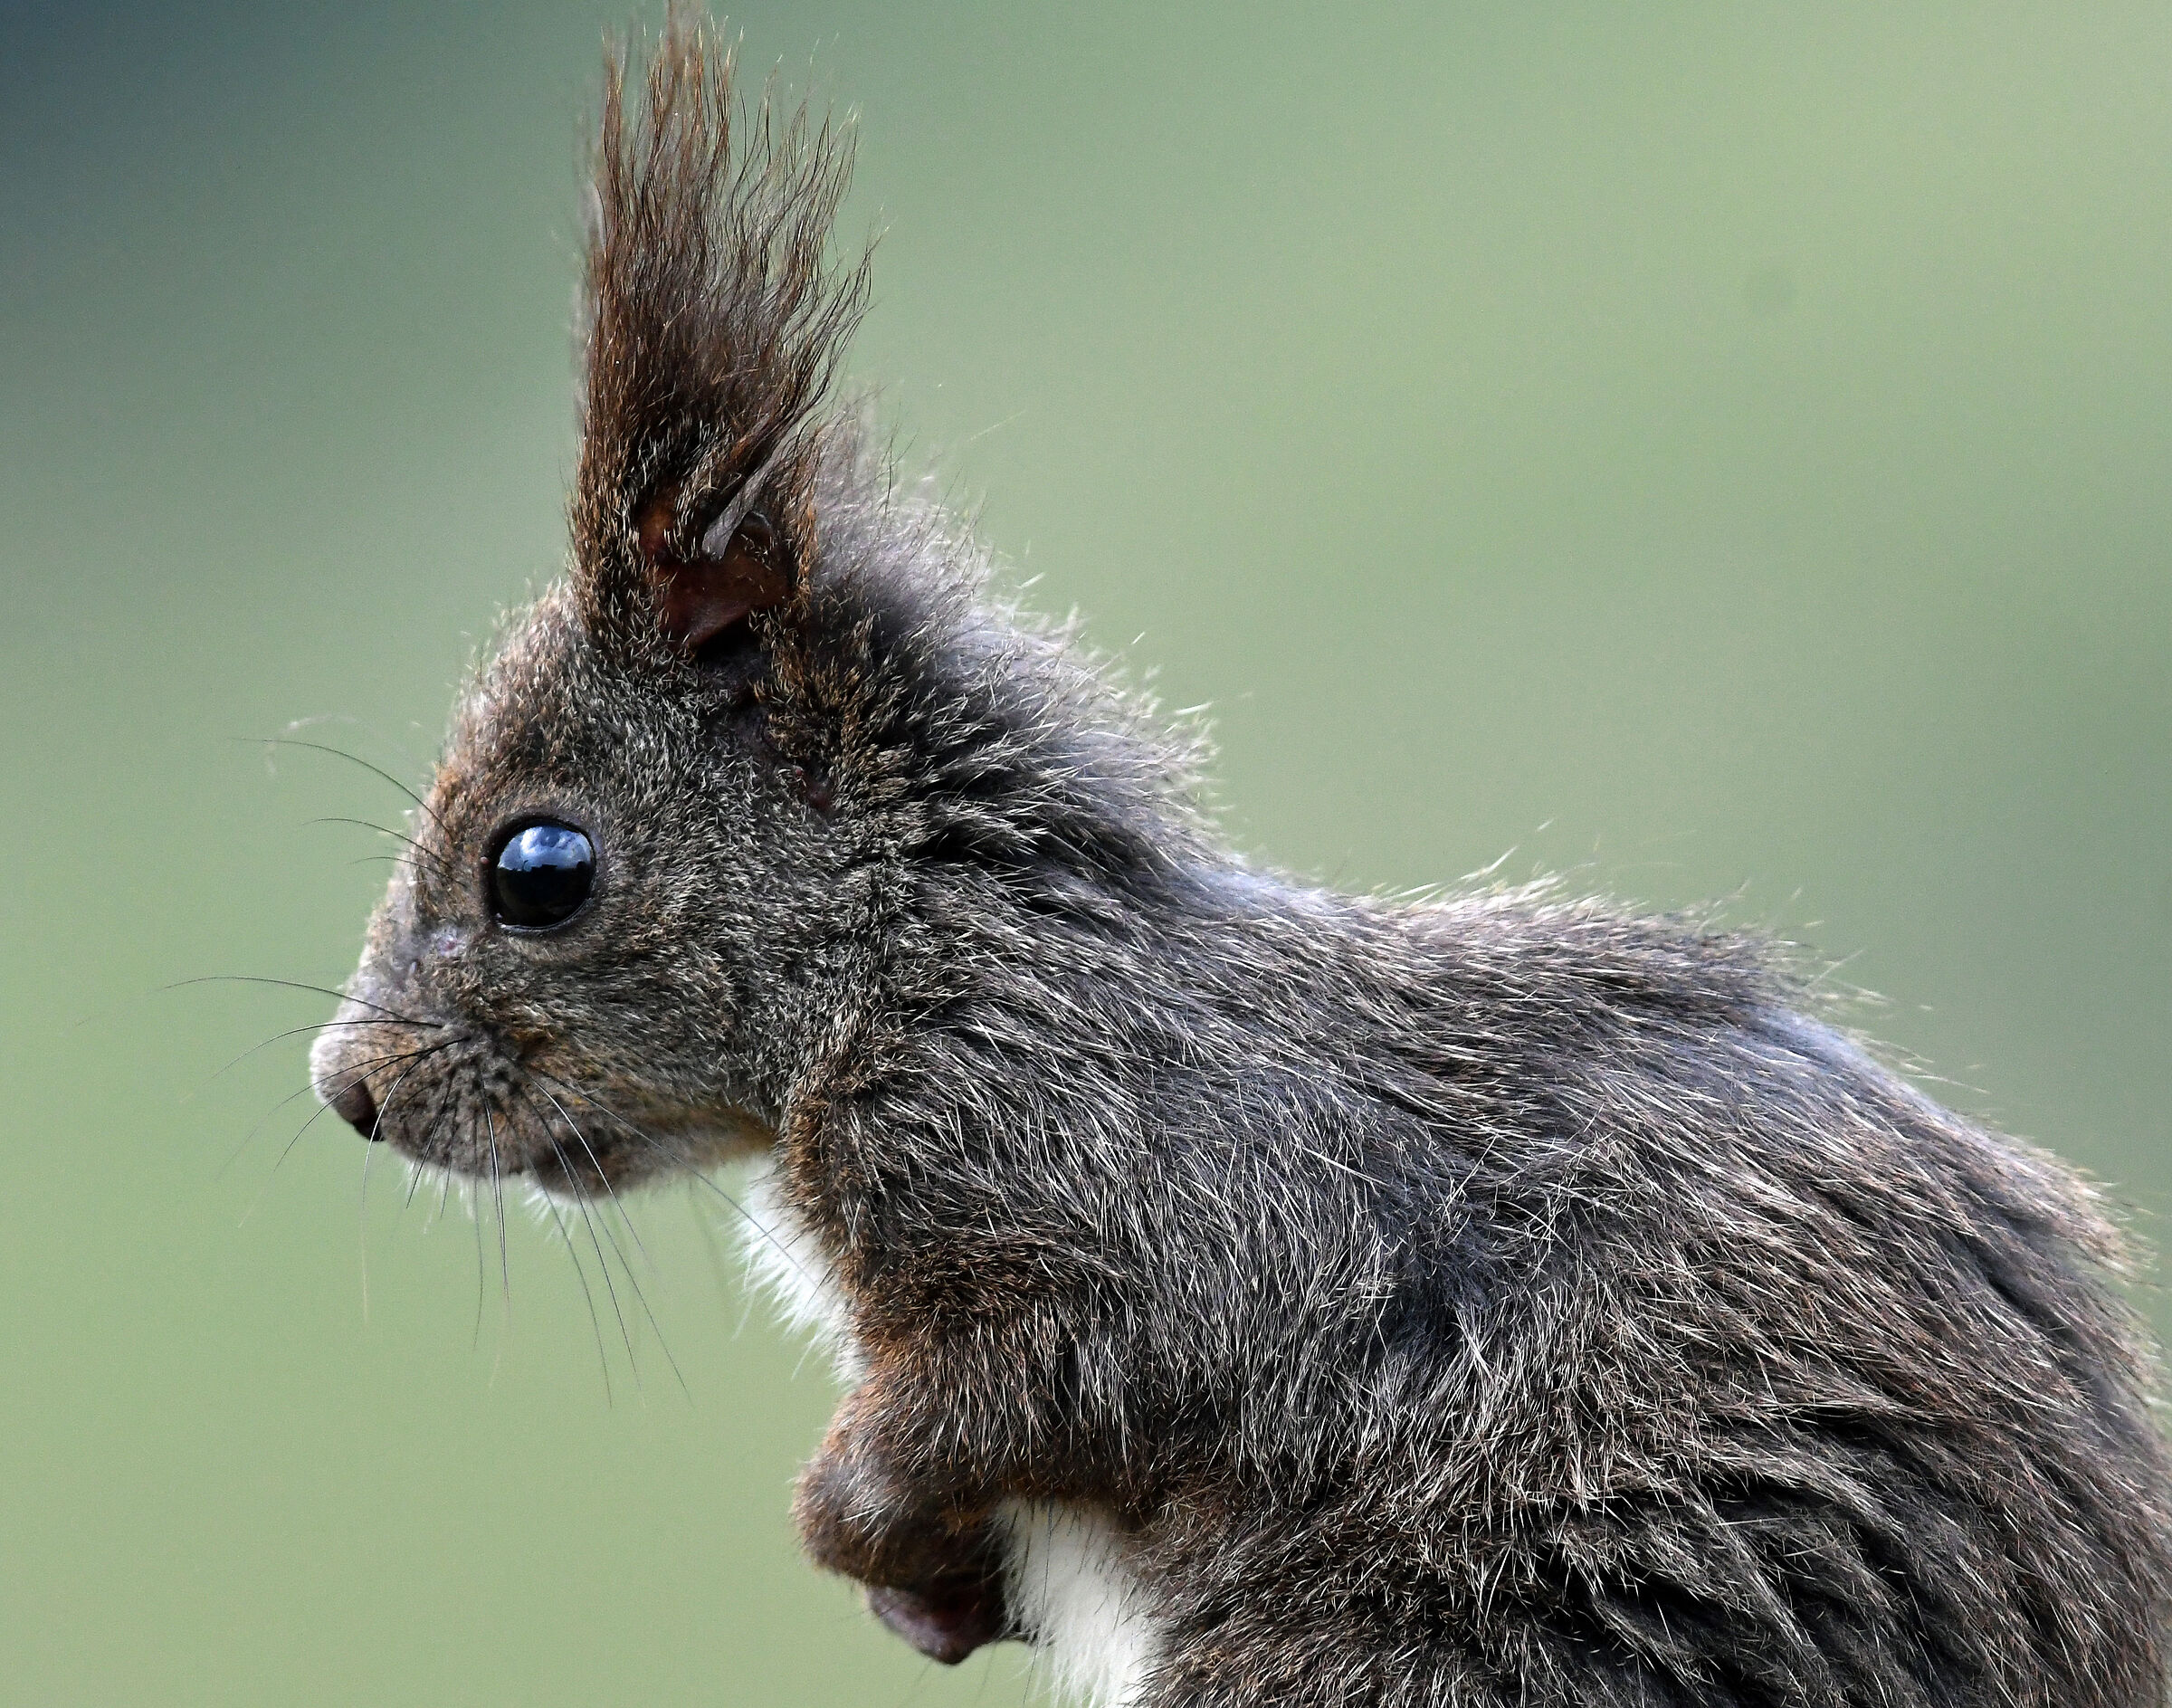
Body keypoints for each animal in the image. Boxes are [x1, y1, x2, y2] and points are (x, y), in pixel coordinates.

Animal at [309, 15, 2172, 1706]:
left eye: (539, 868)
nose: (349, 1086)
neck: (932, 947)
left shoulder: (1155, 1187)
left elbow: (1068, 1369)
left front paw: (857, 1512)